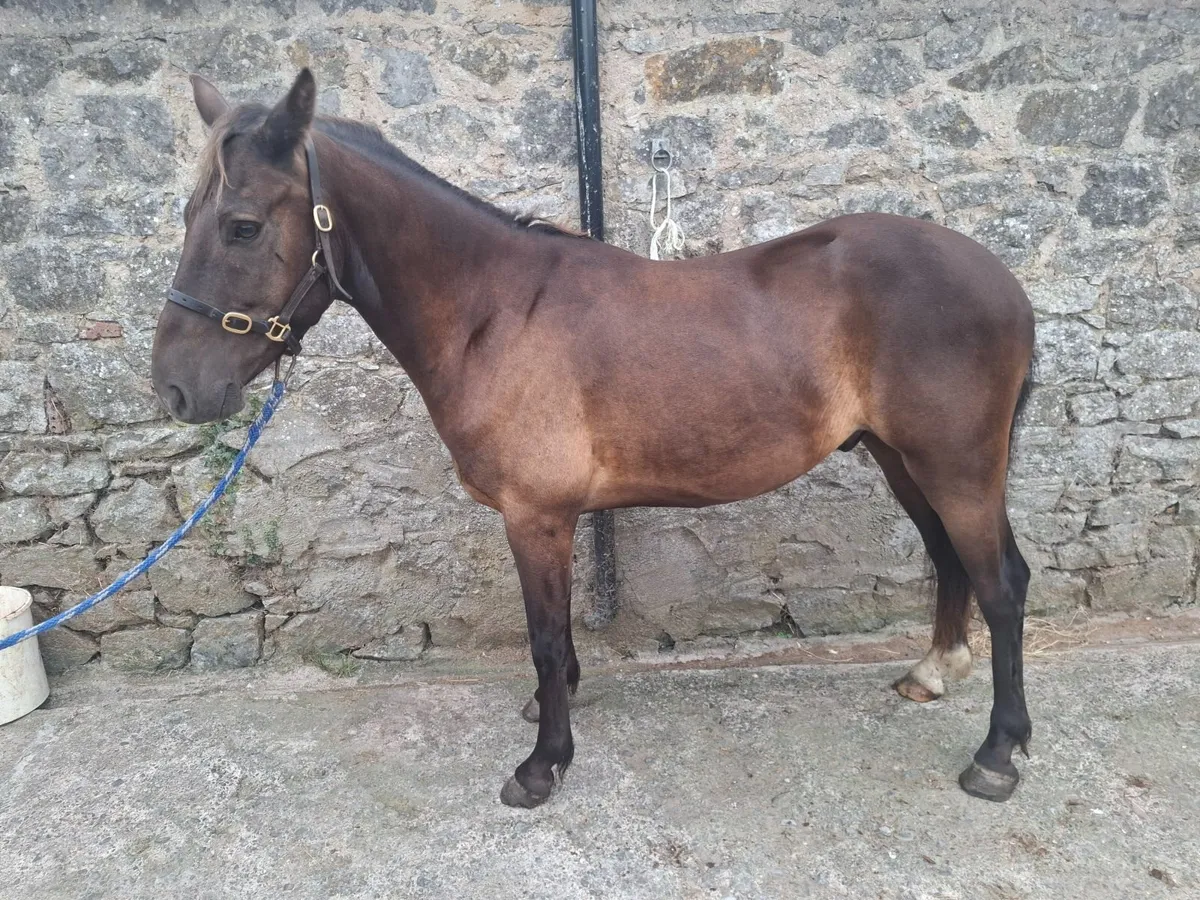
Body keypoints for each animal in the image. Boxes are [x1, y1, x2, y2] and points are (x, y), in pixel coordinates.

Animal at [151, 70, 1036, 808]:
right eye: (189, 215)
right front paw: (554, 711)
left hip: (956, 466)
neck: (494, 311)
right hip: (904, 461)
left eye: (240, 226)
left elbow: (545, 636)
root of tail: (1004, 282)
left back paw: (996, 755)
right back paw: (933, 674)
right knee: (952, 560)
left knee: (1002, 584)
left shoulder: (535, 514)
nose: (175, 387)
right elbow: (559, 633)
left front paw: (543, 765)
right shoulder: (551, 517)